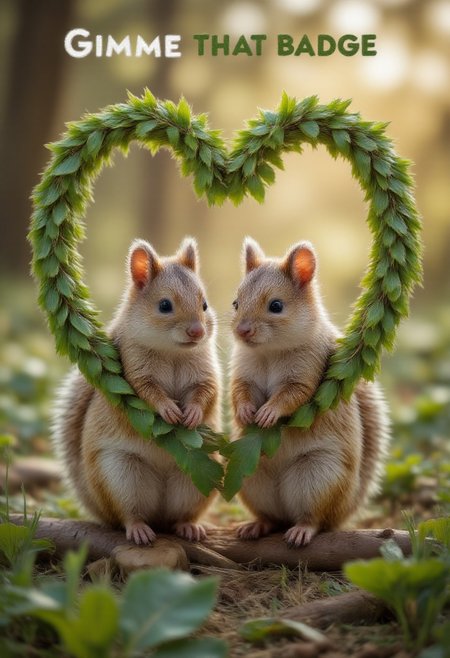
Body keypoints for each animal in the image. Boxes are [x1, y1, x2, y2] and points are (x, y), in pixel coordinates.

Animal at [52, 238, 221, 545]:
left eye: (204, 304)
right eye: (164, 305)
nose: (197, 332)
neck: (173, 353)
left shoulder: (207, 373)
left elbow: (207, 392)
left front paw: (191, 412)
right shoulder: (132, 370)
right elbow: (146, 393)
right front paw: (168, 409)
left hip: (200, 478)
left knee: (180, 515)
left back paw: (188, 527)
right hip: (120, 476)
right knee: (127, 514)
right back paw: (139, 529)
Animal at [230, 237, 389, 547]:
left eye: (276, 305)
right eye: (236, 302)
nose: (242, 330)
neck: (269, 353)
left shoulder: (309, 370)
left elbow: (294, 395)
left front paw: (269, 412)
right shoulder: (242, 372)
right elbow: (239, 392)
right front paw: (244, 412)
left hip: (319, 479)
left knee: (315, 518)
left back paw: (302, 529)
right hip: (251, 480)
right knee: (271, 517)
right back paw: (257, 525)